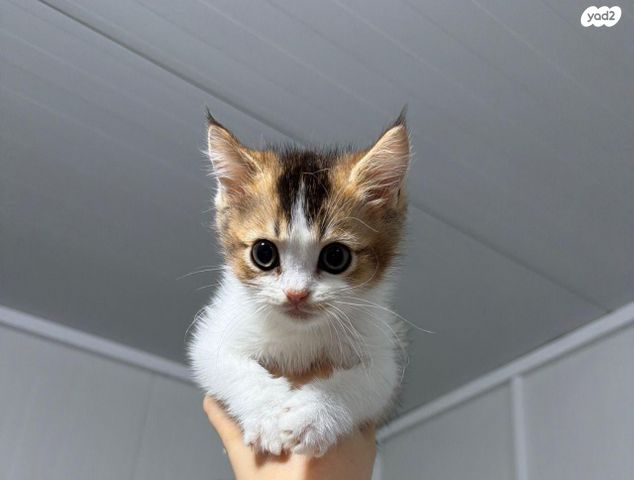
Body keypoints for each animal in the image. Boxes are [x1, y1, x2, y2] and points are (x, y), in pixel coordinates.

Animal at [189, 109, 410, 457]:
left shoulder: (386, 357)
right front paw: (267, 414)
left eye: (336, 257)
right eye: (263, 253)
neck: (299, 335)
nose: (296, 294)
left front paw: (316, 412)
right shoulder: (212, 334)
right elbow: (223, 361)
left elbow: (369, 380)